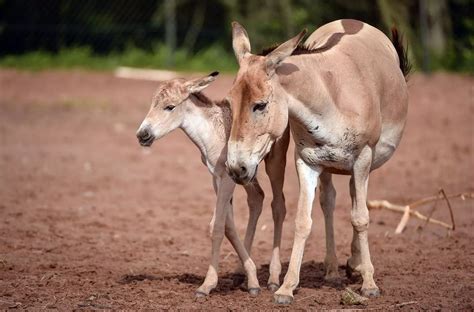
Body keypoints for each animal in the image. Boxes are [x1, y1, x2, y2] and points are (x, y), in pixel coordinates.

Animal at [134, 72, 288, 296]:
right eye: (152, 104)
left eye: (169, 107)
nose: (142, 135)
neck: (212, 132)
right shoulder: (217, 177)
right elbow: (228, 226)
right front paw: (251, 279)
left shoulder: (227, 179)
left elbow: (216, 226)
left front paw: (207, 285)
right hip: (247, 174)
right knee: (257, 197)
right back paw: (241, 274)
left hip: (274, 163)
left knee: (278, 206)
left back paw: (274, 279)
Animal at [226, 18, 408, 302]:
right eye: (230, 104)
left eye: (260, 105)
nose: (236, 168)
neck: (330, 96)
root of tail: (353, 21)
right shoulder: (308, 162)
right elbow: (303, 221)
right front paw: (287, 287)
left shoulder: (363, 158)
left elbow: (361, 217)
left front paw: (369, 284)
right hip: (313, 161)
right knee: (325, 201)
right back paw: (332, 269)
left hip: (363, 163)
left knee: (355, 200)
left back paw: (355, 265)